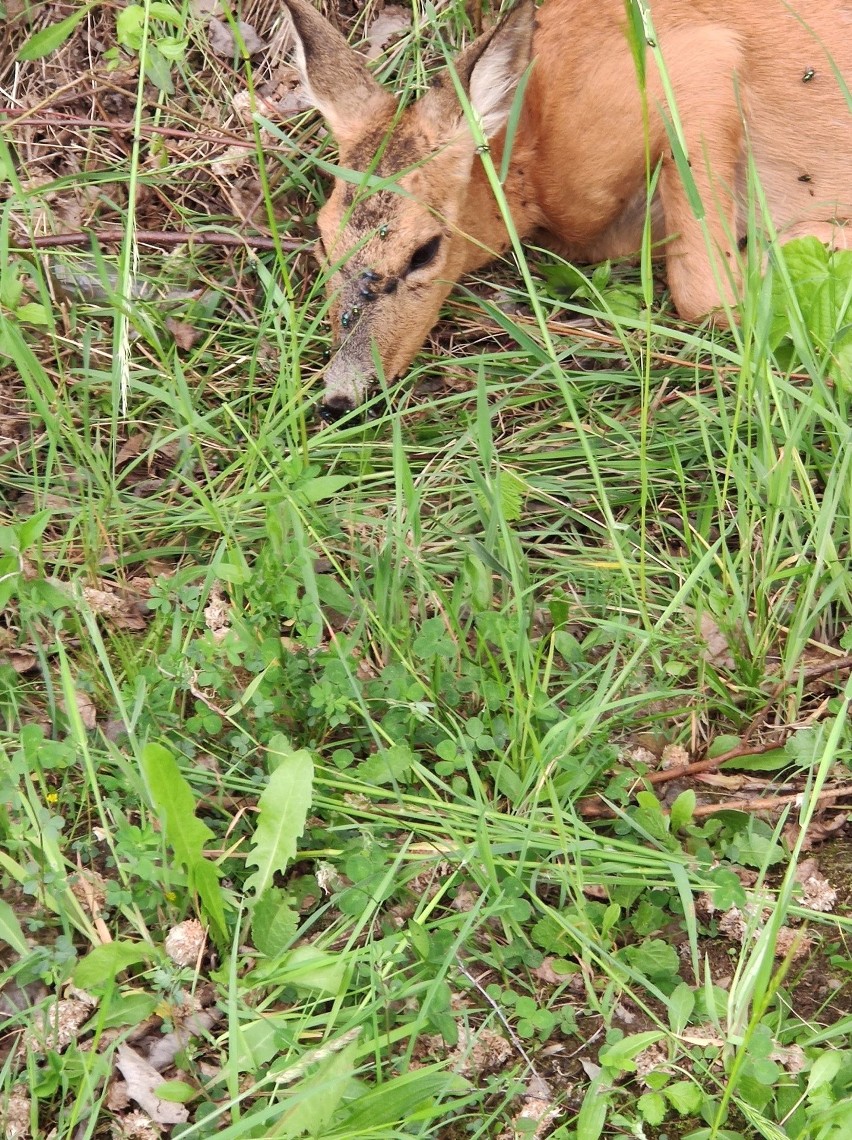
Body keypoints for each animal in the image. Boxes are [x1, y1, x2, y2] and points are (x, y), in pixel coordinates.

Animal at [285, 0, 852, 417]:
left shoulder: (701, 63)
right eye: (322, 239)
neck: (533, 162)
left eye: (424, 251)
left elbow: (703, 293)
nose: (338, 397)